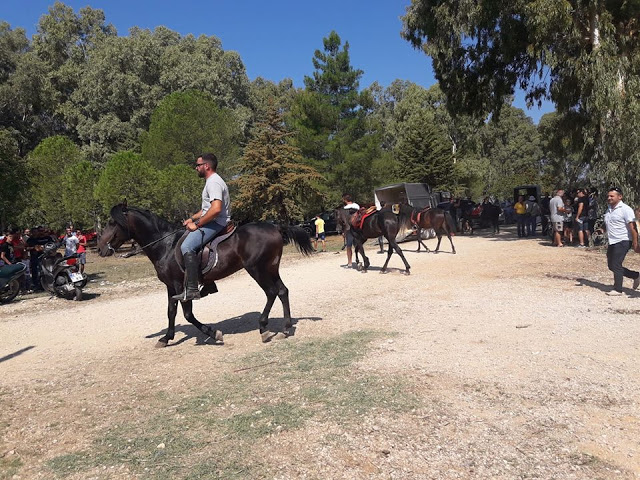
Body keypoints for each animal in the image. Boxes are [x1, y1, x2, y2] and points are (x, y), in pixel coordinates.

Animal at [96, 202, 314, 344]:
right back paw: (285, 328)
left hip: (258, 269)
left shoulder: (181, 286)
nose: (100, 248)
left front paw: (213, 333)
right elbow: (171, 311)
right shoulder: (170, 286)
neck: (165, 245)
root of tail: (275, 226)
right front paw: (166, 338)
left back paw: (263, 328)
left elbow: (188, 314)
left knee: (271, 292)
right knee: (282, 291)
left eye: (112, 222)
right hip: (270, 268)